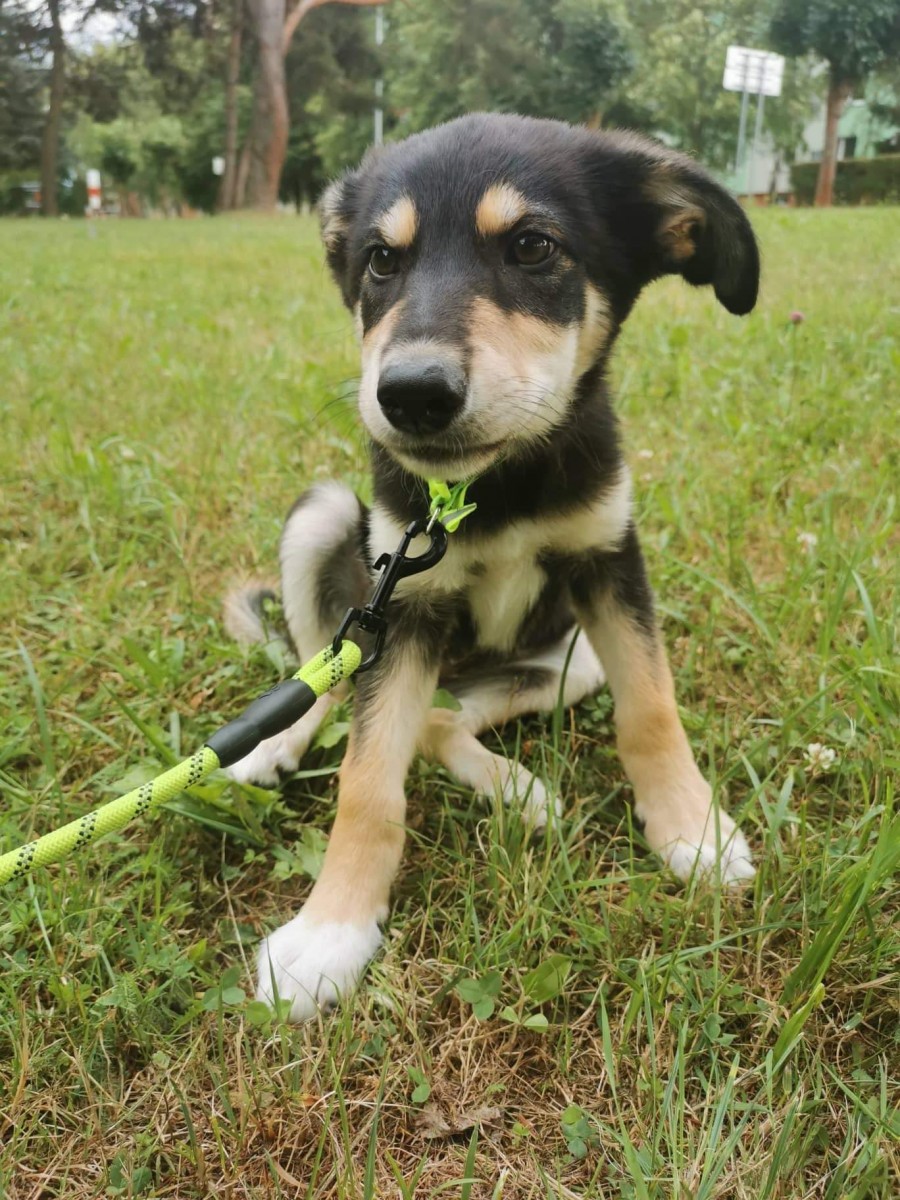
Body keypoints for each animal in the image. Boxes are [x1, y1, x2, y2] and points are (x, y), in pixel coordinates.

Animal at [225, 113, 759, 1022]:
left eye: (534, 246)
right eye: (381, 259)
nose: (411, 394)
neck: (493, 486)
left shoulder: (610, 558)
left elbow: (651, 709)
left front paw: (692, 827)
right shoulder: (401, 605)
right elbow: (367, 780)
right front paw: (329, 933)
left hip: (565, 660)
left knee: (441, 720)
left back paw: (520, 792)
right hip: (325, 521)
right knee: (324, 675)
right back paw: (277, 743)